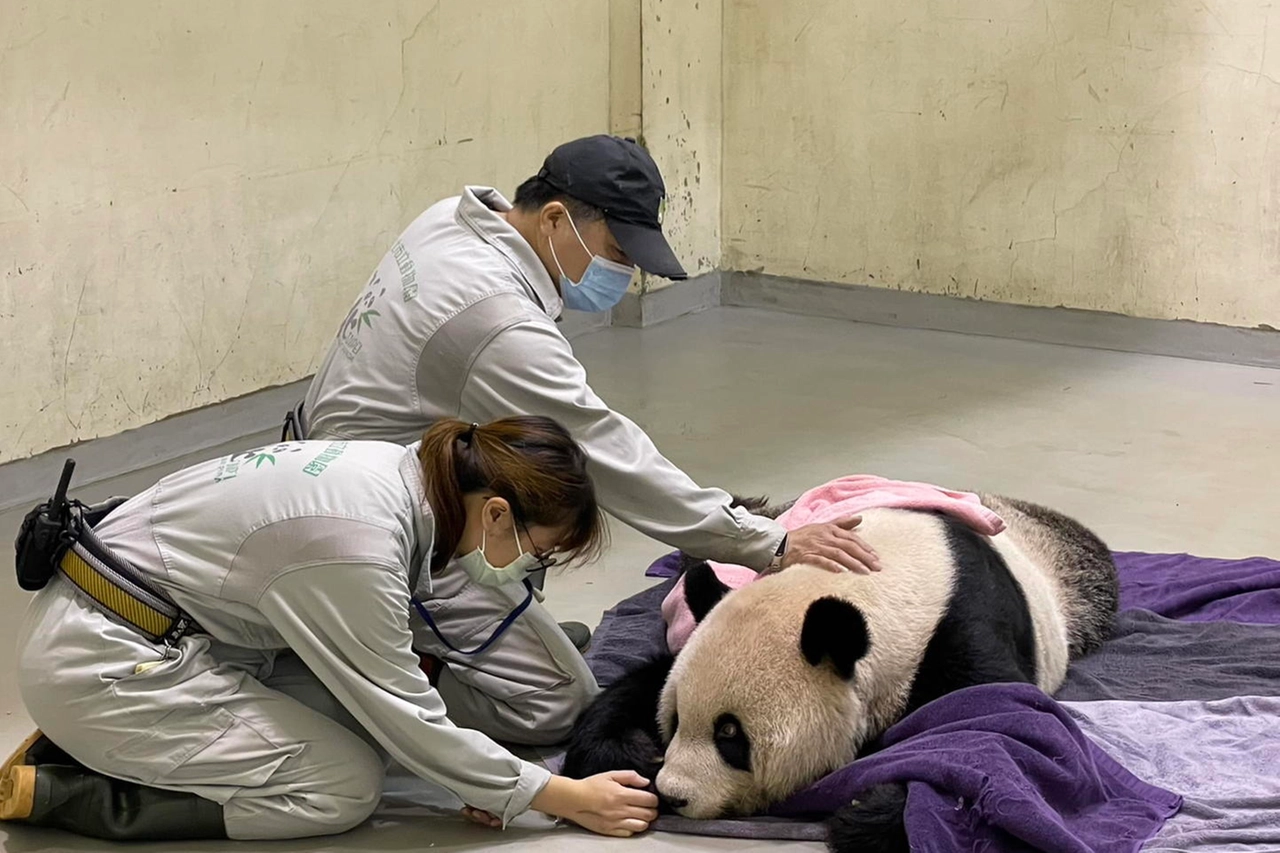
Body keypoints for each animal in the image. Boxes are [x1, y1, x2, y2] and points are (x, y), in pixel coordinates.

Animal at [565, 489, 1116, 845]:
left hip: (1079, 585)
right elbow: (646, 677)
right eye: (677, 719)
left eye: (730, 736)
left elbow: (1000, 729)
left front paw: (870, 809)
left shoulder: (960, 631)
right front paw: (631, 753)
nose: (674, 794)